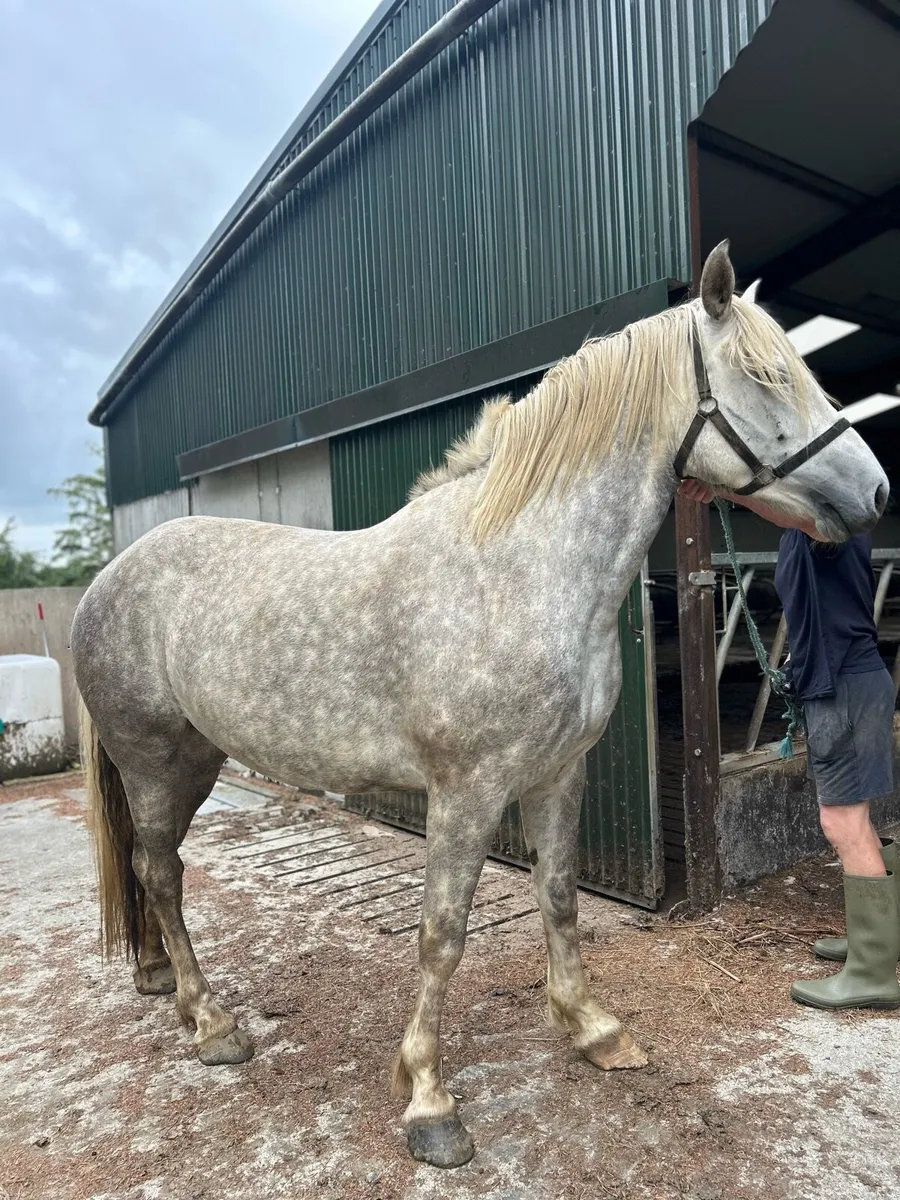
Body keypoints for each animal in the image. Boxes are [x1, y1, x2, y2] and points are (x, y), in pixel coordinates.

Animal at [73, 242, 888, 1168]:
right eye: (764, 375)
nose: (876, 495)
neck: (518, 570)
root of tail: (108, 578)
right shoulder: (466, 792)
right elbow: (443, 934)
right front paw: (429, 1100)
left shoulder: (557, 774)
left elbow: (560, 897)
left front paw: (593, 1029)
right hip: (154, 758)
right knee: (161, 872)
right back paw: (211, 1023)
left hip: (196, 756)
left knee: (151, 869)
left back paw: (162, 984)